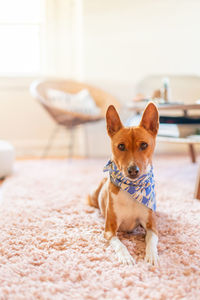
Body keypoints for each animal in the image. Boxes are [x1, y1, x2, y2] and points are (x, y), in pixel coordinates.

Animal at [87, 102, 159, 264]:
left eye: (144, 145)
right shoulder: (109, 230)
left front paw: (152, 255)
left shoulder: (152, 226)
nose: (133, 170)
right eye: (121, 146)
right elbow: (120, 244)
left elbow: (152, 240)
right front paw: (126, 257)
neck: (132, 189)